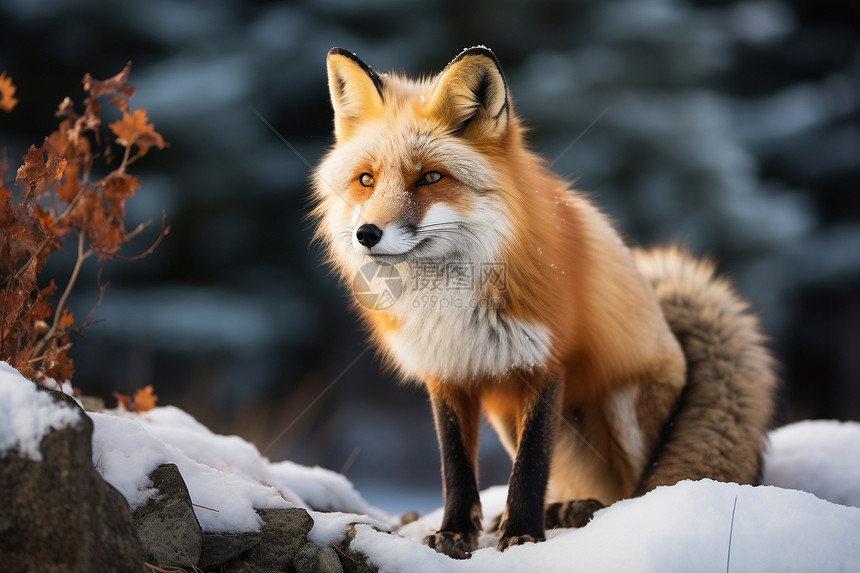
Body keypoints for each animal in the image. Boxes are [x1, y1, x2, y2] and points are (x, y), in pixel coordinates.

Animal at [310, 47, 780, 556]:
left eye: (431, 177)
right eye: (366, 180)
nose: (366, 234)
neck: (451, 303)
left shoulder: (545, 361)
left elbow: (531, 465)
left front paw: (522, 535)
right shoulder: (448, 372)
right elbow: (456, 466)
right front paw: (454, 532)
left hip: (621, 405)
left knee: (640, 485)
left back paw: (595, 513)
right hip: (507, 416)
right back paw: (565, 508)